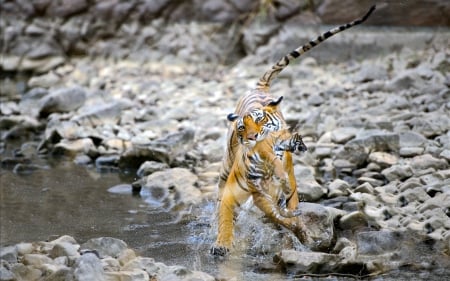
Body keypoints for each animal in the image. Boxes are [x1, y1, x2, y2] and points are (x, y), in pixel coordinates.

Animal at [212, 4, 376, 254]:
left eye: (261, 122)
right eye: (243, 127)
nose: (253, 137)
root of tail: (259, 88)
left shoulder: (284, 189)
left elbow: (287, 215)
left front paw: (302, 234)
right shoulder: (246, 194)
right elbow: (226, 219)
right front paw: (221, 243)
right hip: (225, 169)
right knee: (220, 198)